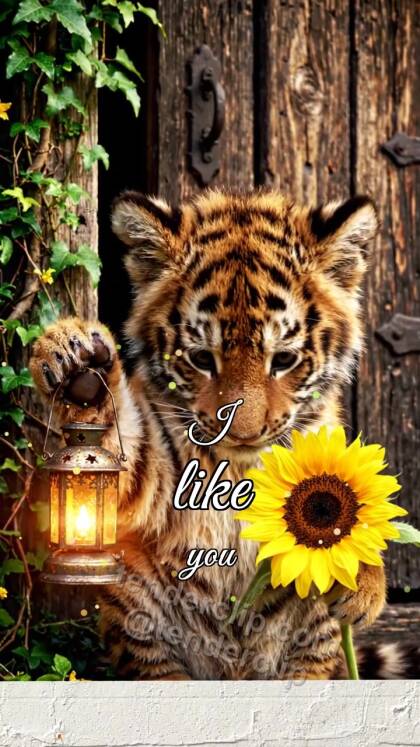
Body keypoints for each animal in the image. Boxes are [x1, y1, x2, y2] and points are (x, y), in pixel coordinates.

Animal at [30, 188, 408, 680]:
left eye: (283, 359)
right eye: (201, 359)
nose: (244, 433)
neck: (241, 466)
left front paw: (360, 579)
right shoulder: (159, 475)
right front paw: (75, 357)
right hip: (146, 631)